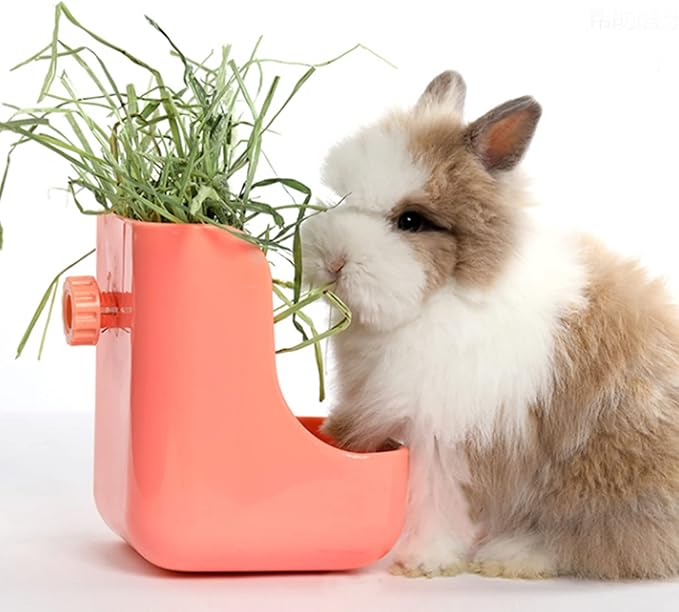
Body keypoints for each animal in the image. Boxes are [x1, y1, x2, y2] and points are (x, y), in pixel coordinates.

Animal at [300, 69, 679, 580]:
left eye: (410, 220)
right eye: (337, 200)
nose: (334, 262)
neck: (445, 299)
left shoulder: (444, 437)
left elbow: (434, 500)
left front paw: (421, 561)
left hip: (604, 478)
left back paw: (511, 556)